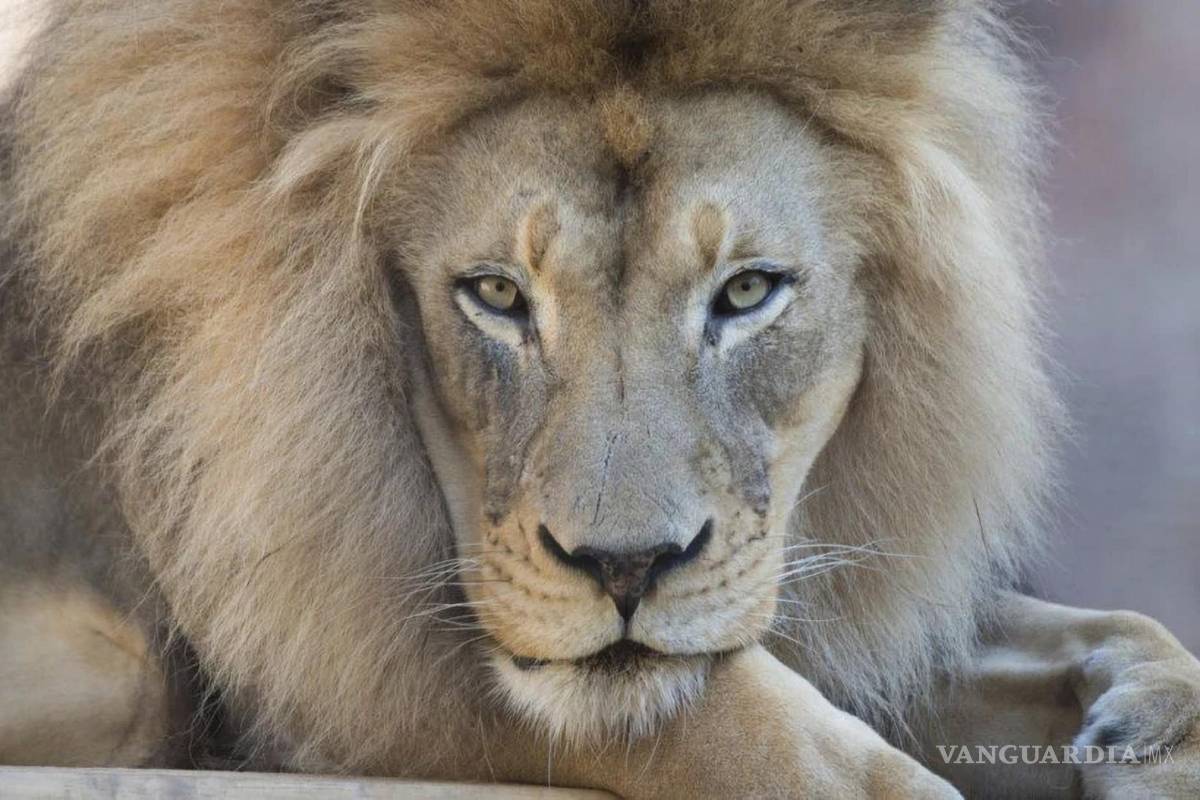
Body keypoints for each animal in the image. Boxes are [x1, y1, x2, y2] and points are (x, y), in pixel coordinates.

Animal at [1, 1, 1198, 797]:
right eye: (496, 293)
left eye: (747, 291)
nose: (626, 567)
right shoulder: (343, 648)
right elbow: (767, 741)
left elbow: (1116, 627)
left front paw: (1149, 729)